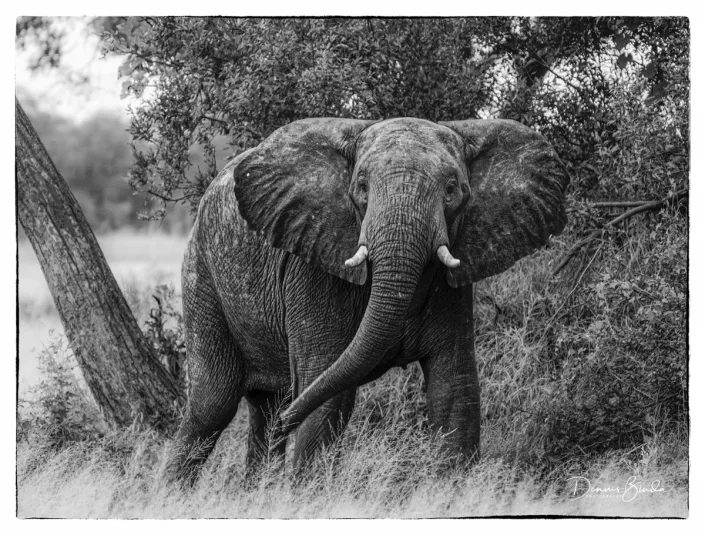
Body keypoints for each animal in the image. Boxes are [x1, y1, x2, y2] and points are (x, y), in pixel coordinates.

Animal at [166, 117, 568, 483]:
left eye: (452, 189)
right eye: (361, 186)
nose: (288, 421)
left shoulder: (451, 282)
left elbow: (454, 389)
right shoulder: (313, 269)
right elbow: (327, 397)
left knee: (267, 411)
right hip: (201, 273)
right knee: (212, 406)